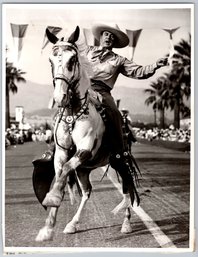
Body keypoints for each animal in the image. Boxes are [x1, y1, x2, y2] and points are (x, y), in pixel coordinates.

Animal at [35, 26, 139, 240]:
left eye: (72, 59)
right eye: (50, 60)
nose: (59, 97)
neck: (73, 113)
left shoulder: (85, 150)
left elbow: (66, 170)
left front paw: (53, 198)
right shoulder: (62, 153)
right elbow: (61, 174)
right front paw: (48, 227)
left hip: (119, 159)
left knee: (127, 187)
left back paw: (126, 223)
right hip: (84, 169)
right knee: (87, 192)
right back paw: (72, 224)